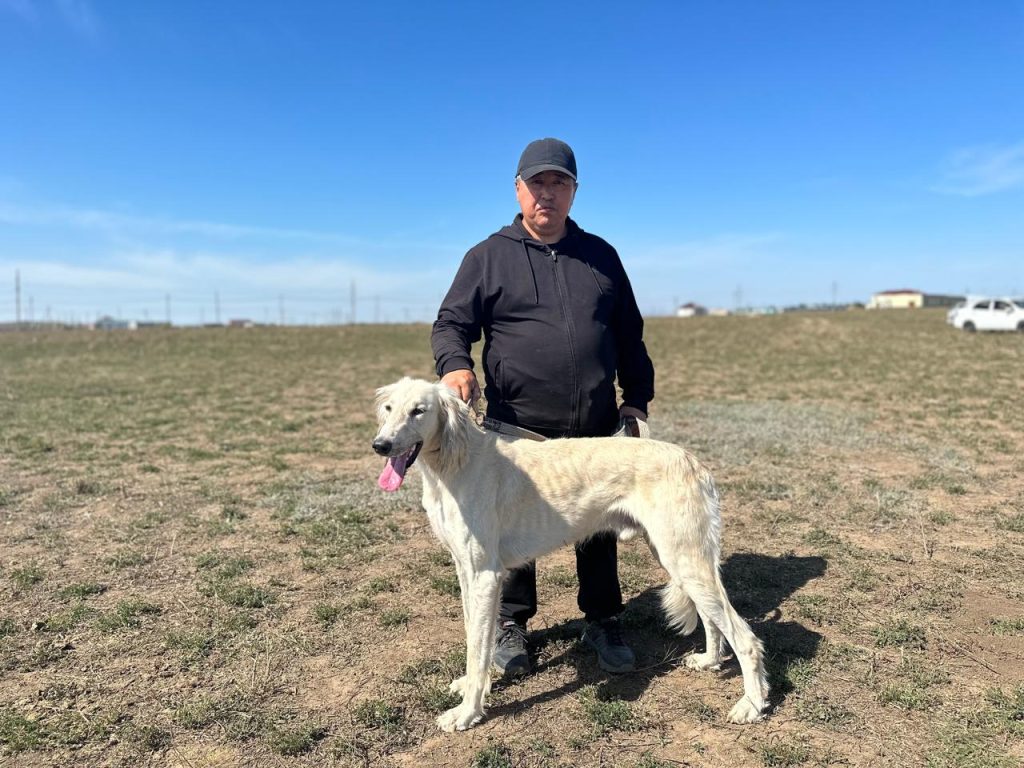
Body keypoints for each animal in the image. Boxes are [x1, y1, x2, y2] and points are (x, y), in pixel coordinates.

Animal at [372, 377, 769, 732]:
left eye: (419, 410)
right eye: (389, 408)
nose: (380, 445)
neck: (456, 461)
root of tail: (693, 461)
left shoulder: (485, 575)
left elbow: (477, 646)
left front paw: (468, 712)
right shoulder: (465, 570)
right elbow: (475, 637)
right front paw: (471, 687)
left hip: (684, 557)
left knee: (745, 638)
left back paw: (751, 704)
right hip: (678, 557)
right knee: (712, 618)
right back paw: (711, 660)